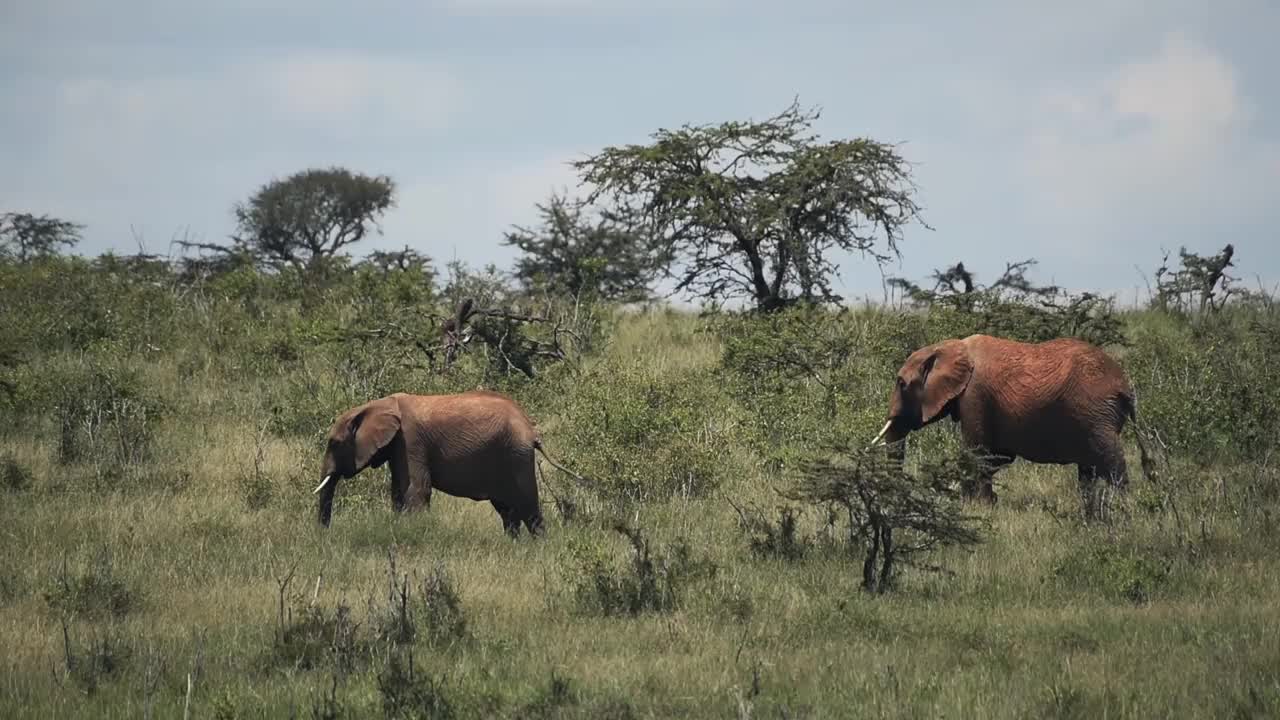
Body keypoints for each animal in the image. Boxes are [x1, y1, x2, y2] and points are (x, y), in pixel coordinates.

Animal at [311, 389, 581, 535]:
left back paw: (539, 544)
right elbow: (398, 492)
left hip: (516, 455)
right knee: (507, 509)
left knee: (527, 503)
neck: (378, 404)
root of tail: (530, 427)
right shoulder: (398, 446)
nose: (325, 533)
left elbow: (415, 491)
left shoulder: (410, 441)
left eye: (334, 443)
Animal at [870, 333, 1141, 512]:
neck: (949, 347)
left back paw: (1122, 512)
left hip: (1098, 413)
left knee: (1111, 461)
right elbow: (998, 455)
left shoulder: (975, 396)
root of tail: (1126, 386)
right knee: (1088, 470)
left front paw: (978, 508)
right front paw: (988, 503)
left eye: (901, 383)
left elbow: (976, 451)